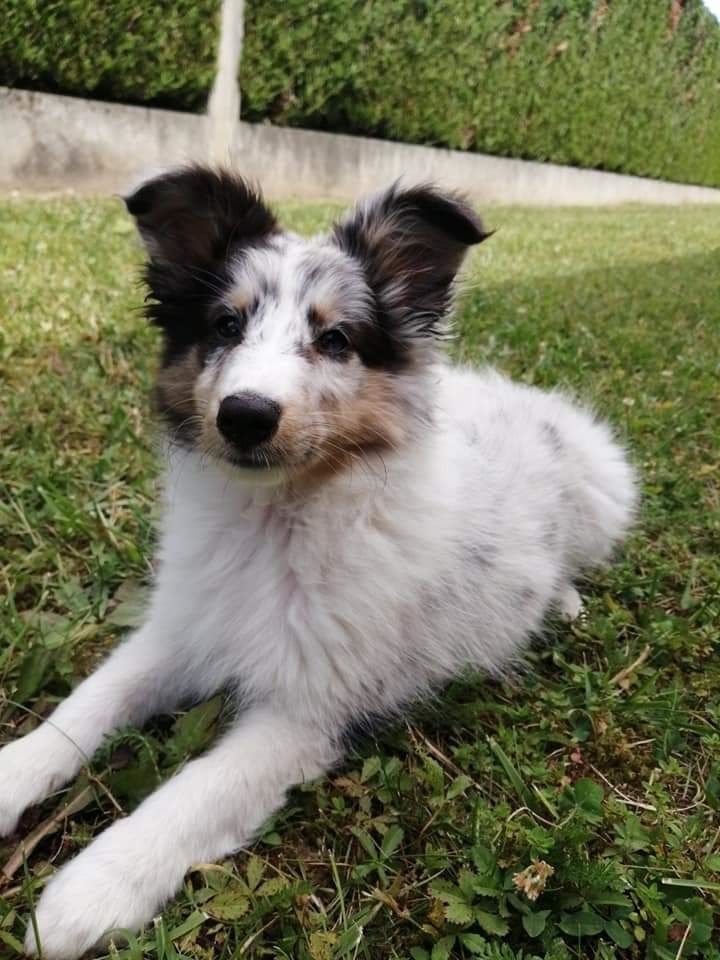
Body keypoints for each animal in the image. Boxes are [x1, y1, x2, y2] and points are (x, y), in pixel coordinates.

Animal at [0, 169, 636, 956]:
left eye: (335, 339)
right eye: (225, 326)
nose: (245, 415)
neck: (274, 518)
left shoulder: (308, 709)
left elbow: (195, 791)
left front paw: (90, 891)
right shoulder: (183, 625)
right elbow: (89, 702)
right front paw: (12, 775)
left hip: (603, 487)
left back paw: (564, 600)